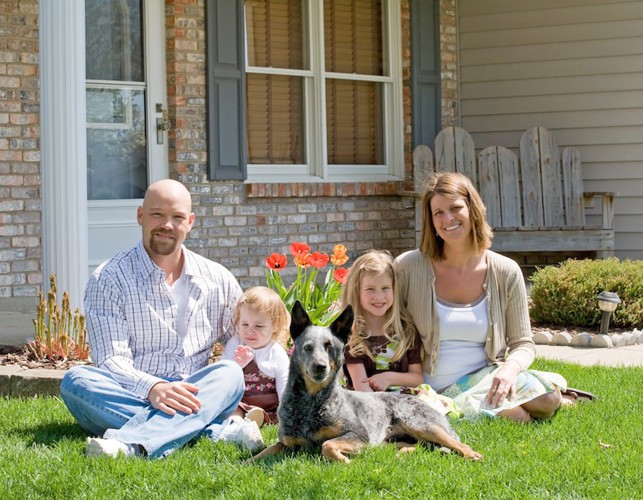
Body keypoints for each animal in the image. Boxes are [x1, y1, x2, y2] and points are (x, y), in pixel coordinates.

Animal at [252, 298, 484, 462]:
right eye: (308, 347)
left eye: (330, 347)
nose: (320, 366)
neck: (310, 403)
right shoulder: (287, 443)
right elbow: (266, 450)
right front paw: (247, 463)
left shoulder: (359, 434)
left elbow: (328, 445)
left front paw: (344, 461)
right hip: (399, 438)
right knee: (418, 446)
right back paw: (401, 454)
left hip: (421, 424)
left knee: (456, 444)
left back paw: (472, 454)